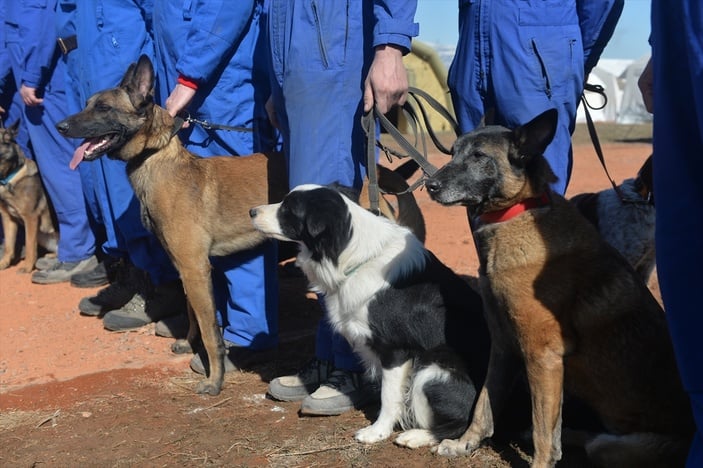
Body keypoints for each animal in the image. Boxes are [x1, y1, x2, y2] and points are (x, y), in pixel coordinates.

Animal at [0, 120, 58, 272]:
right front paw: (4, 263)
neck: (8, 178)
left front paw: (27, 267)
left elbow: (30, 245)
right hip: (43, 236)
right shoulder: (8, 219)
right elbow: (8, 245)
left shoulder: (30, 218)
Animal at [55, 55, 426, 398]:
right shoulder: (186, 267)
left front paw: (214, 379)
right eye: (87, 103)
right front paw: (187, 344)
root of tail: (369, 173)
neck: (158, 159)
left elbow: (210, 329)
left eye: (103, 108)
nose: (60, 126)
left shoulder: (195, 268)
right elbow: (192, 311)